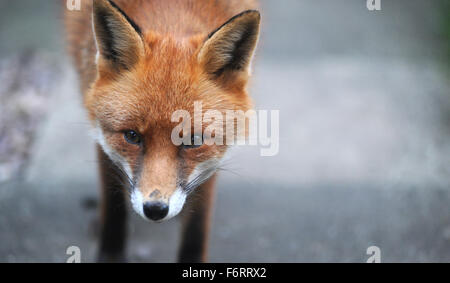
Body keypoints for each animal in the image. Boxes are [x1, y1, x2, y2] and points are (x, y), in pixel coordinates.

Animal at [64, 0, 260, 262]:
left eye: (194, 140)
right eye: (132, 136)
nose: (155, 209)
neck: (172, 10)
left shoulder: (213, 161)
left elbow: (197, 225)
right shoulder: (100, 132)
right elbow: (113, 200)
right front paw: (110, 253)